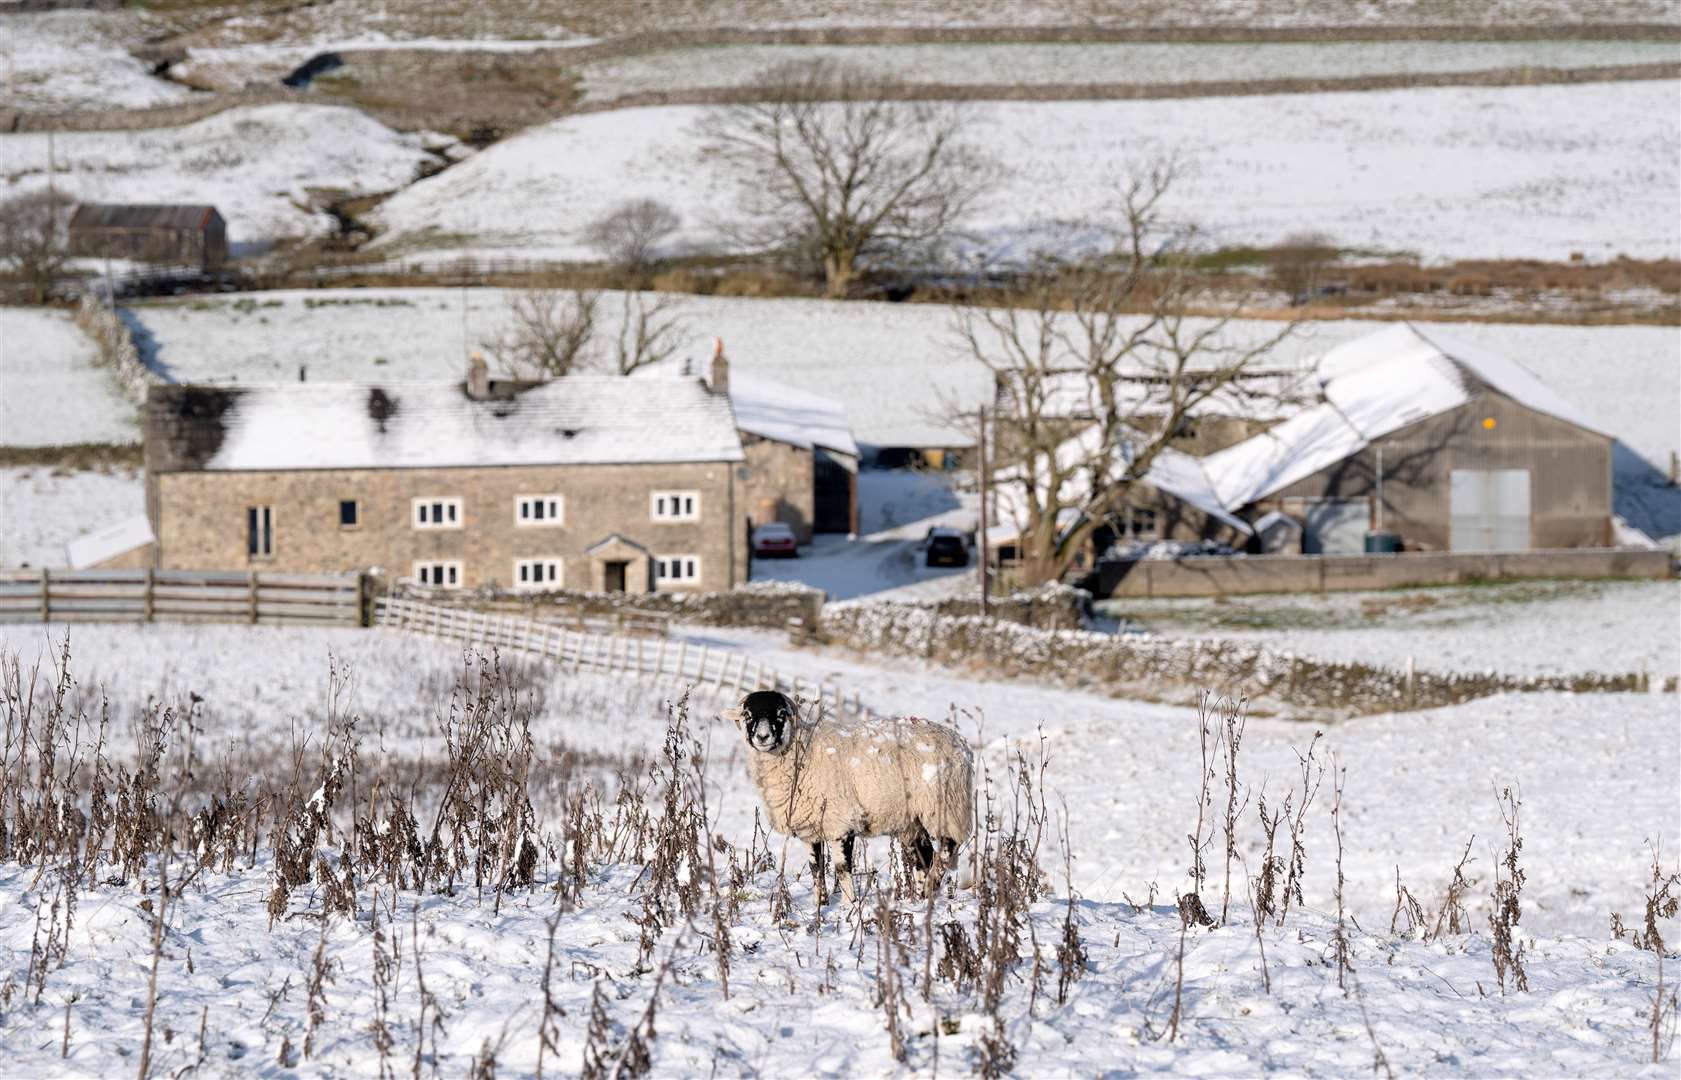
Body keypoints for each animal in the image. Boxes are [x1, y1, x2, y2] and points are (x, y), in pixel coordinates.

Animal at [732, 686, 981, 901]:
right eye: (747, 714)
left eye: (781, 714)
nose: (762, 737)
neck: (802, 752)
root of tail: (962, 745)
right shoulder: (811, 828)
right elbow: (816, 870)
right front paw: (821, 906)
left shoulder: (840, 822)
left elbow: (842, 870)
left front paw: (849, 909)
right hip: (914, 819)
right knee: (923, 857)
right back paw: (920, 898)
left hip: (946, 805)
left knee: (947, 849)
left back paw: (930, 888)